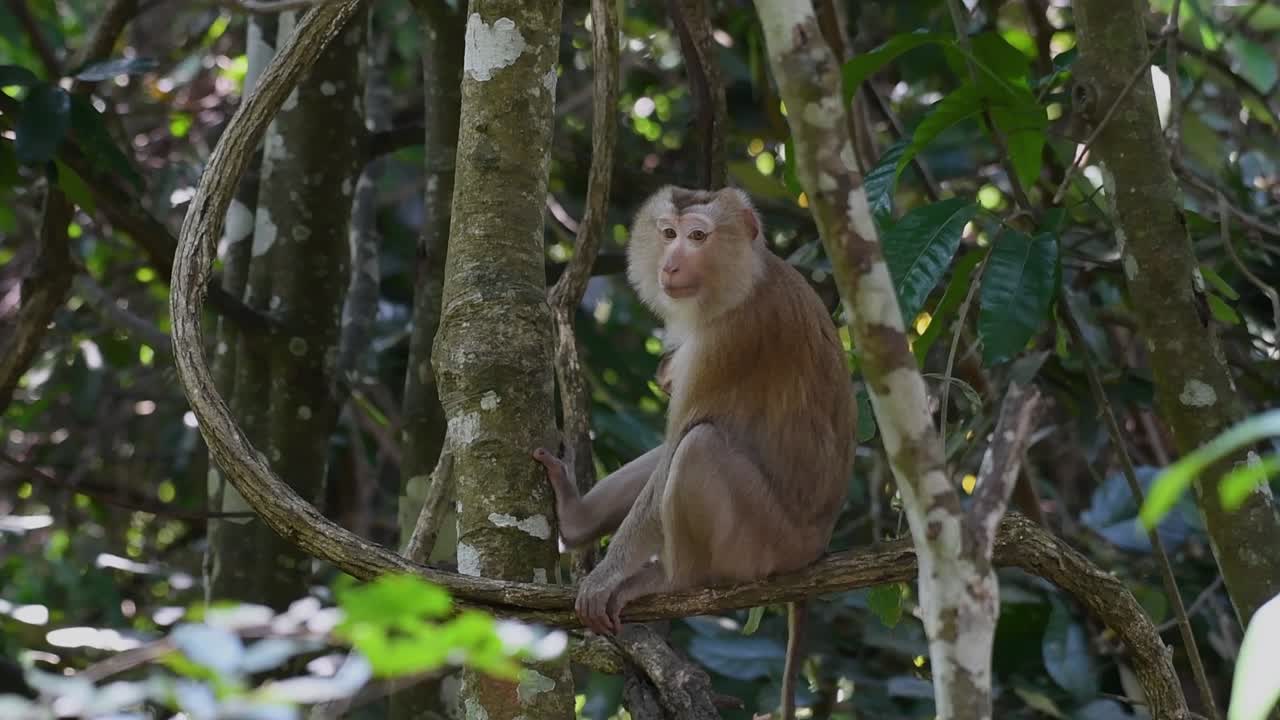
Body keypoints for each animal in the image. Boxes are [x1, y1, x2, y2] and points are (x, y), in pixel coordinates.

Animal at [533, 186, 855, 720]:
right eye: (668, 233)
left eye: (698, 236)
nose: (672, 263)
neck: (744, 280)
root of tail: (815, 549)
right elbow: (665, 450)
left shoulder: (730, 340)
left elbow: (681, 440)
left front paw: (606, 576)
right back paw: (577, 518)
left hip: (765, 544)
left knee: (696, 447)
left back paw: (673, 580)